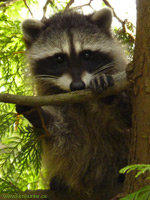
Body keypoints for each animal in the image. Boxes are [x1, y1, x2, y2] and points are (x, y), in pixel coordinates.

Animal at [16, 7, 131, 198]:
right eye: (59, 59)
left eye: (86, 55)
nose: (77, 86)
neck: (80, 101)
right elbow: (66, 136)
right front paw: (39, 115)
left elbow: (129, 121)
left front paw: (109, 97)